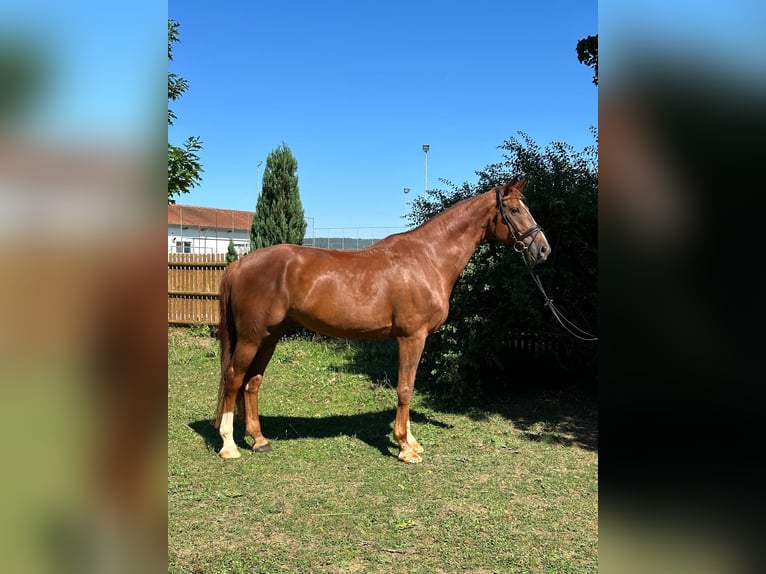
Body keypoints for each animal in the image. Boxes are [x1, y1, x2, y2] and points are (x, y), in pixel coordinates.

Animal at [216, 178, 548, 466]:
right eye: (515, 210)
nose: (543, 249)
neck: (428, 258)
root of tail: (240, 264)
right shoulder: (412, 337)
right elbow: (405, 388)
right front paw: (404, 448)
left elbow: (408, 387)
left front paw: (411, 441)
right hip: (251, 338)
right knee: (234, 379)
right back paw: (229, 446)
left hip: (269, 337)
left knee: (252, 382)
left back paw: (259, 440)